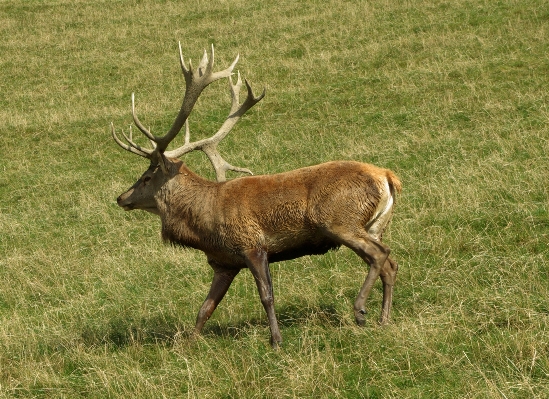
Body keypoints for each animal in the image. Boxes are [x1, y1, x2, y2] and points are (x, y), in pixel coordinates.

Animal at [111, 44, 400, 350]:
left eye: (146, 177)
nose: (121, 197)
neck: (205, 228)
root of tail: (387, 177)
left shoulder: (252, 245)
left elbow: (266, 296)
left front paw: (276, 340)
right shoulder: (224, 264)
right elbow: (205, 308)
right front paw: (189, 342)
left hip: (340, 221)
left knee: (380, 254)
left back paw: (360, 310)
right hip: (375, 225)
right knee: (390, 264)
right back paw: (384, 319)